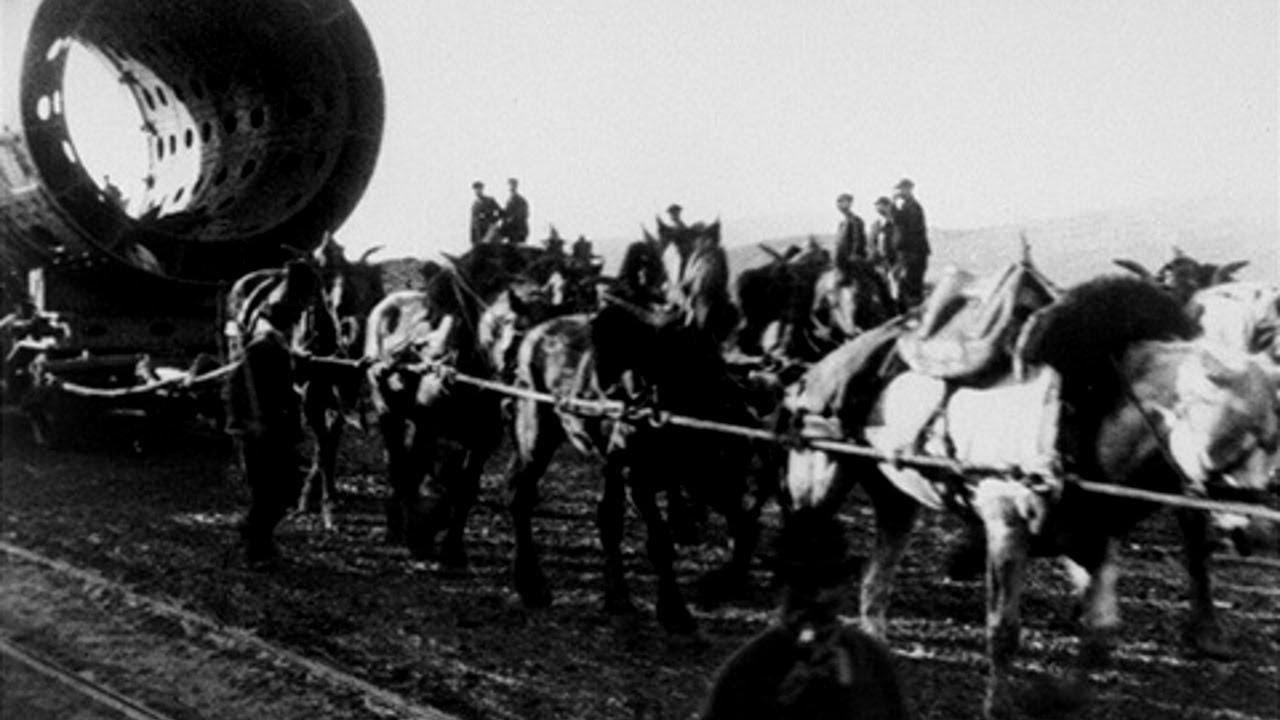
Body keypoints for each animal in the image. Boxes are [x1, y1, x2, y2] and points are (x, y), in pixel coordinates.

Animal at [509, 239, 778, 627]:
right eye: (675, 360)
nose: (748, 411)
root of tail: (535, 333)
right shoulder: (640, 474)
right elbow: (661, 542)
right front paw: (674, 610)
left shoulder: (710, 476)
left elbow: (745, 528)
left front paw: (718, 584)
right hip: (536, 434)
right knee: (522, 496)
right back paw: (531, 584)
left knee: (607, 518)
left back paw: (617, 597)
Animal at [778, 272, 1280, 712]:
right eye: (1233, 436)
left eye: (1272, 436)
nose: (1259, 533)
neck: (1082, 413)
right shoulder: (1007, 528)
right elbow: (1004, 632)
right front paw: (998, 705)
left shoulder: (1089, 539)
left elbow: (1101, 634)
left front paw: (1060, 697)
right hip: (817, 485)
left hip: (896, 500)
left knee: (873, 586)